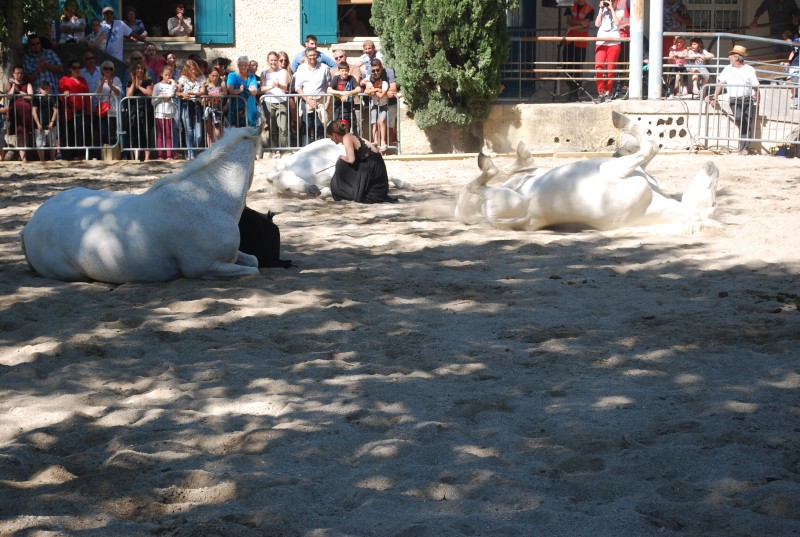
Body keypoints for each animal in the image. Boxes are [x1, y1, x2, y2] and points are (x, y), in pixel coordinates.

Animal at [266, 138, 410, 197]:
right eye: (287, 189)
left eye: (293, 177)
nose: (313, 190)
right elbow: (326, 191)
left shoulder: (331, 170)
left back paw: (405, 184)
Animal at [456, 112, 720, 231]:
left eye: (714, 202)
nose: (713, 167)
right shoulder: (630, 168)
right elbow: (645, 149)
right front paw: (623, 142)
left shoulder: (618, 171)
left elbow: (650, 146)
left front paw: (621, 122)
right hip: (524, 179)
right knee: (509, 172)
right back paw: (518, 157)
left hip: (505, 197)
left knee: (479, 183)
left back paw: (489, 163)